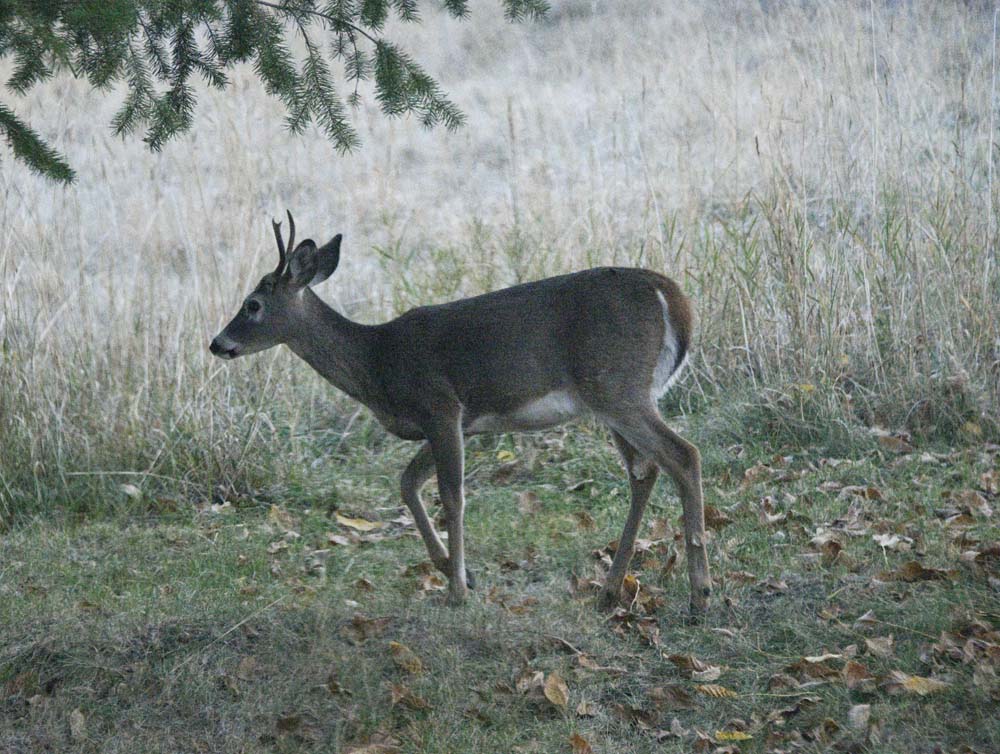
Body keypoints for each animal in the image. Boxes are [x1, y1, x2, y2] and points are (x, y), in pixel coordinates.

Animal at [210, 212, 712, 616]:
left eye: (252, 305)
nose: (217, 343)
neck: (377, 362)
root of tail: (674, 298)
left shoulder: (442, 406)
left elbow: (452, 497)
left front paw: (456, 591)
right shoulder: (455, 425)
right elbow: (408, 483)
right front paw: (457, 571)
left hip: (618, 387)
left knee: (683, 454)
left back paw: (700, 594)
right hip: (613, 398)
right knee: (645, 471)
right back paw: (610, 591)